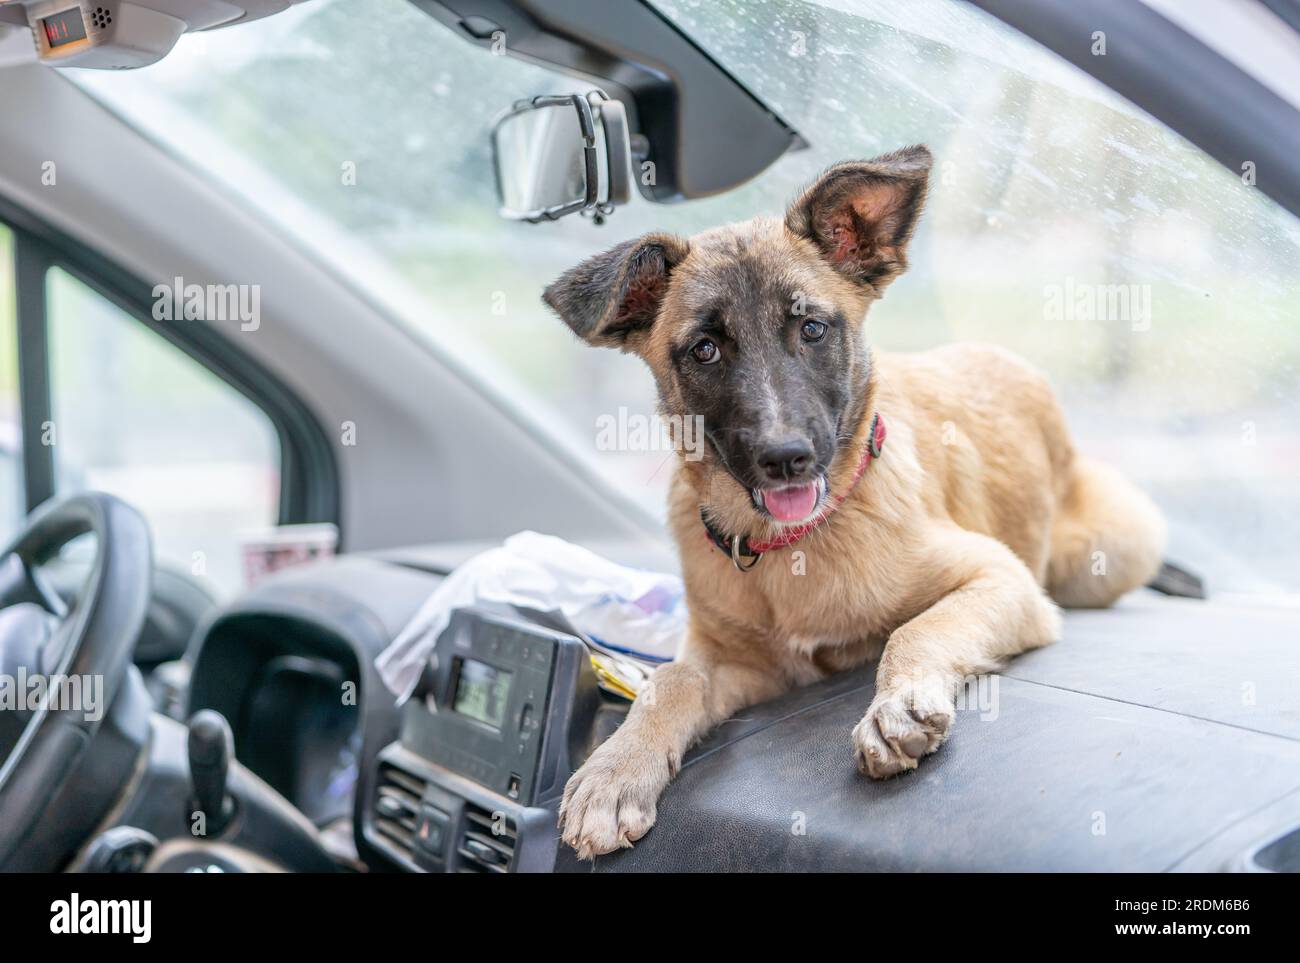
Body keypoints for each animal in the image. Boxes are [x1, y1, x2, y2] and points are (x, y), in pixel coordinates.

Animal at [540, 144, 1170, 857]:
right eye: (705, 350)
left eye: (812, 328)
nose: (786, 457)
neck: (789, 549)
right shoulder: (741, 664)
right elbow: (670, 681)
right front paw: (615, 771)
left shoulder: (1000, 578)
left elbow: (912, 629)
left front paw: (898, 708)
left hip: (1107, 552)